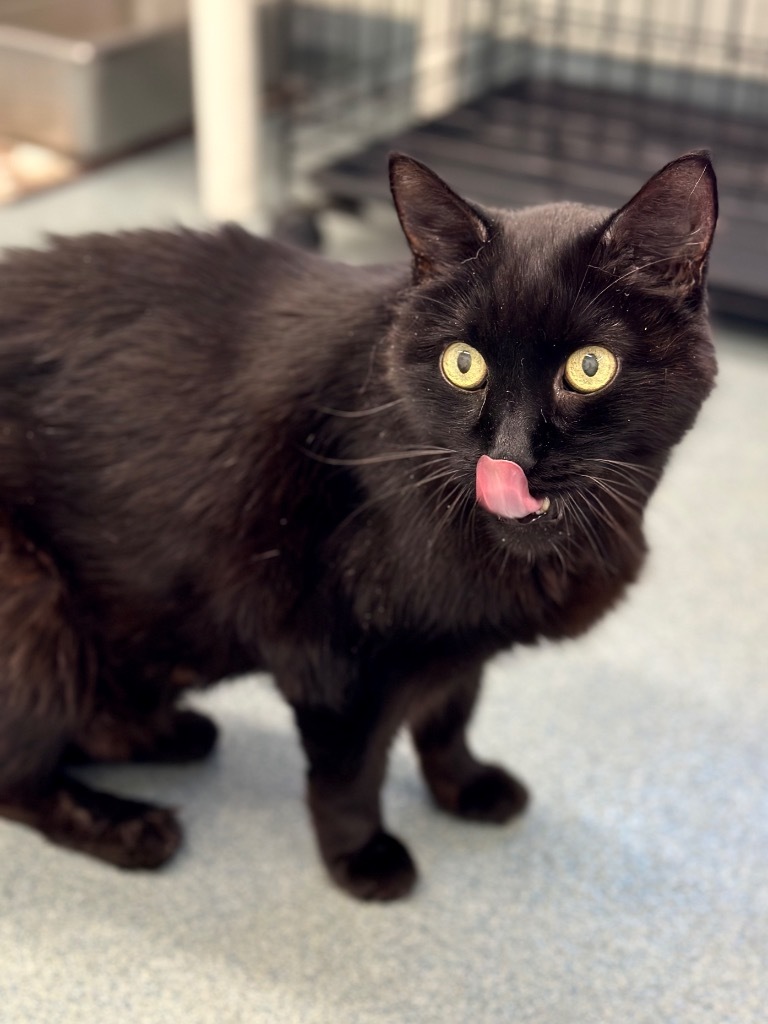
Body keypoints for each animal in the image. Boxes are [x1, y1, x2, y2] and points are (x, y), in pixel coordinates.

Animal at [0, 149, 720, 897]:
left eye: (589, 367)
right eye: (464, 364)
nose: (508, 456)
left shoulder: (459, 639)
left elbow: (449, 715)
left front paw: (463, 787)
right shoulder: (329, 651)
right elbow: (350, 771)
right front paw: (361, 858)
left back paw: (170, 734)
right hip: (33, 606)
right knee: (17, 776)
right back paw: (127, 827)